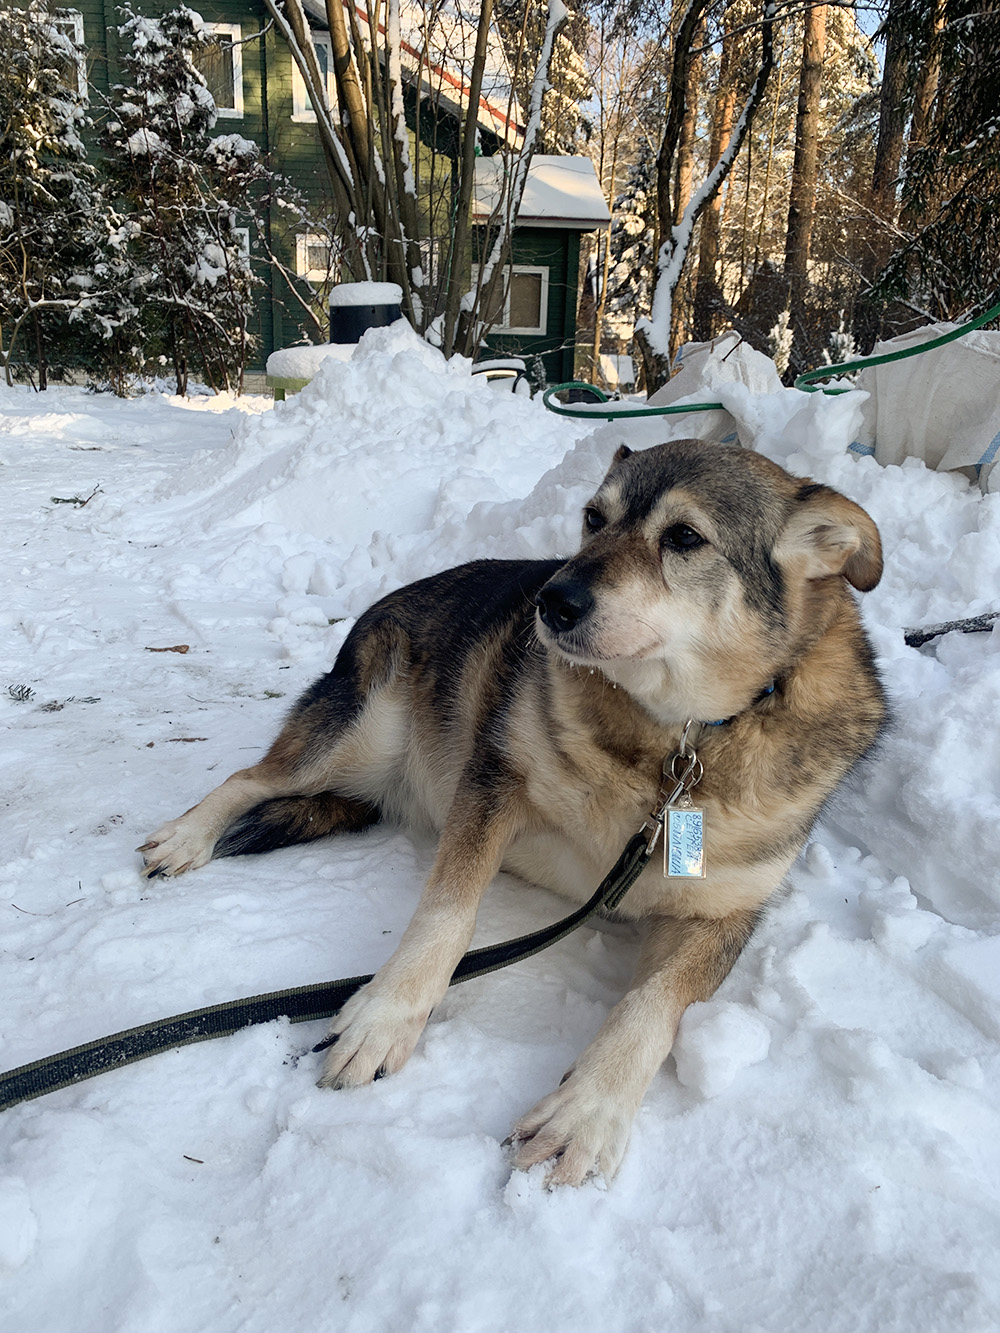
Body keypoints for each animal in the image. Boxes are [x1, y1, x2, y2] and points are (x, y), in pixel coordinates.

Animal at [141, 439, 885, 1189]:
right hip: (359, 731)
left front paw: (587, 1112)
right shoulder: (493, 780)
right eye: (593, 518)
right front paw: (385, 1016)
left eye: (683, 537)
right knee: (249, 777)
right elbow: (447, 910)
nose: (550, 601)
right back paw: (186, 837)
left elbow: (652, 1005)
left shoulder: (724, 912)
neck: (675, 746)